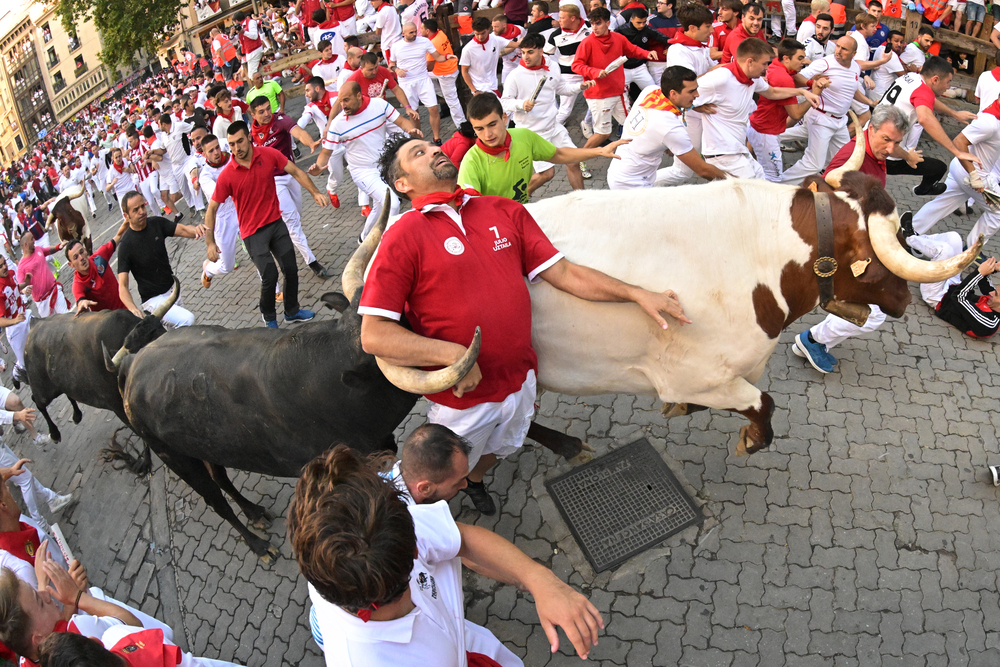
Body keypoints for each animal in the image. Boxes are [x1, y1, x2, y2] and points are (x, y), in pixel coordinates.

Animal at [117, 294, 584, 560]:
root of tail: (132, 367)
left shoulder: (383, 439)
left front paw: (567, 443)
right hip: (173, 455)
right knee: (213, 499)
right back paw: (258, 545)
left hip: (207, 444)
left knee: (221, 476)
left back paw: (255, 512)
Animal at [376, 137, 976, 460]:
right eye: (883, 247)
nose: (905, 298)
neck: (760, 256)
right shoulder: (699, 372)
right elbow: (764, 404)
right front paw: (751, 439)